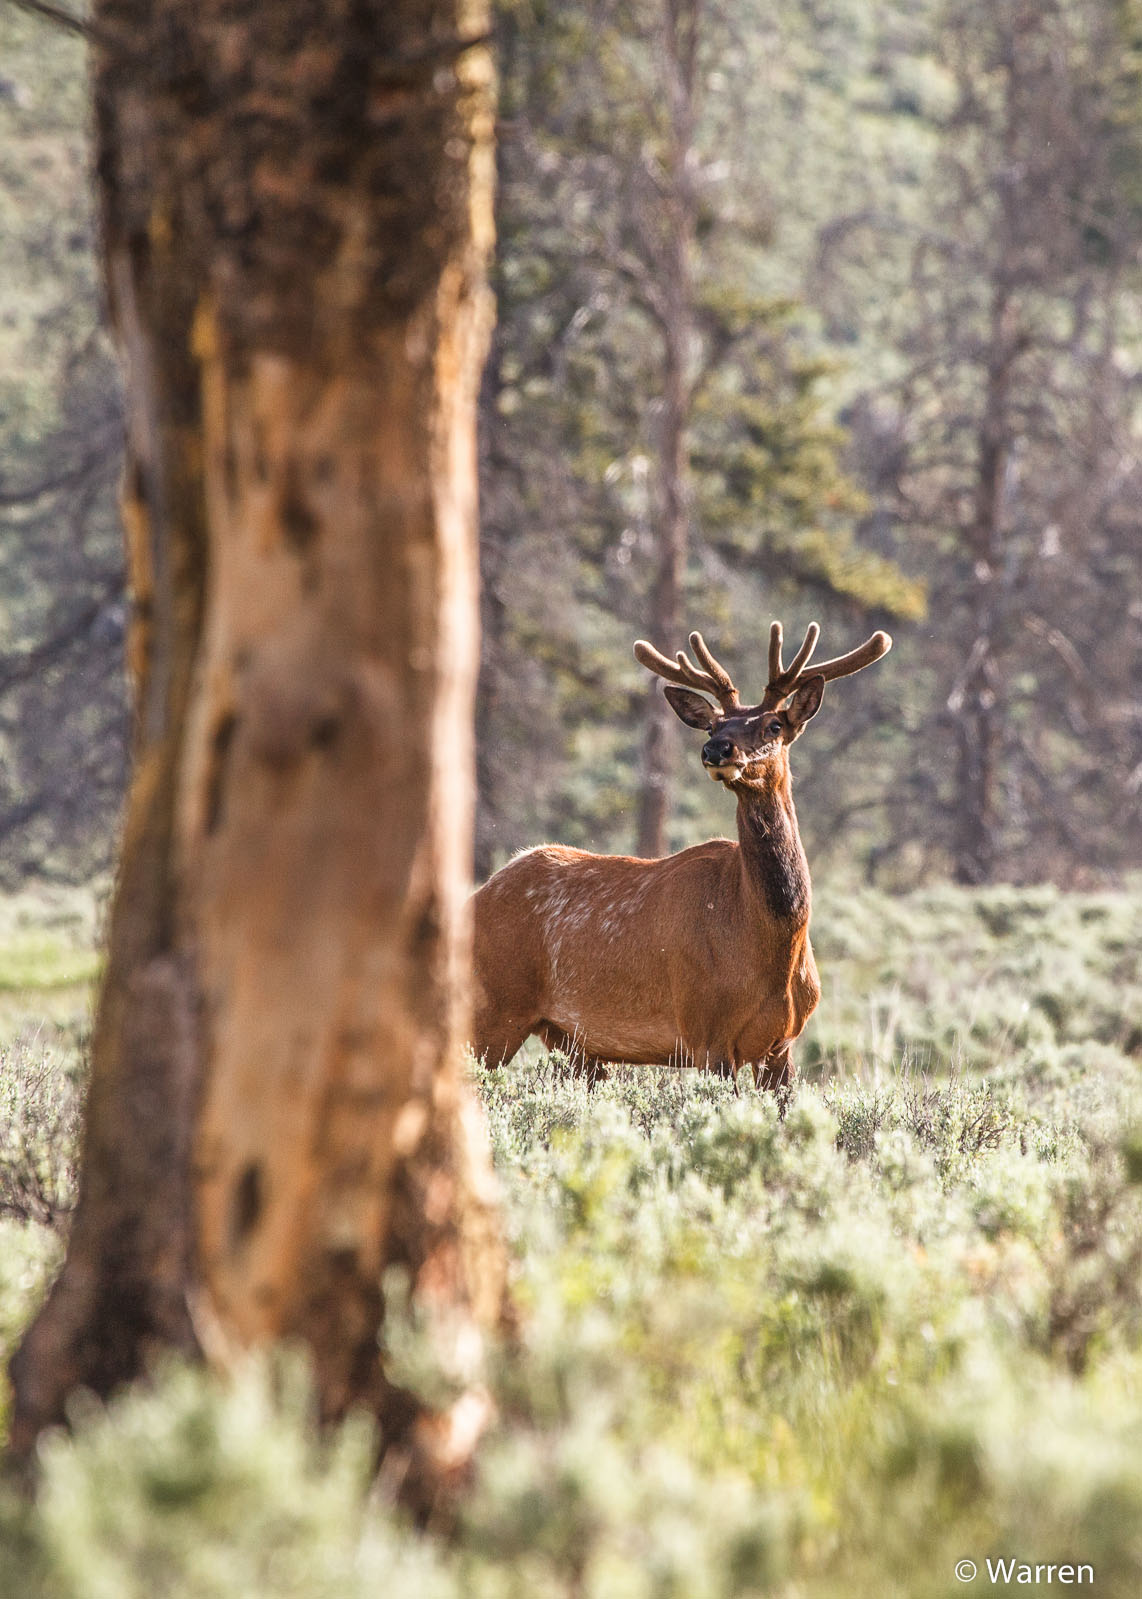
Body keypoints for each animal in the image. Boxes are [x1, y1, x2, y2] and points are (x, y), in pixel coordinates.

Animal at [471, 620, 891, 1089]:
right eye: (713, 727)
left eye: (773, 726)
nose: (717, 750)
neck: (772, 946)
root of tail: (474, 897)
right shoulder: (706, 1030)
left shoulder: (782, 1044)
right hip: (496, 1007)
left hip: (570, 1040)